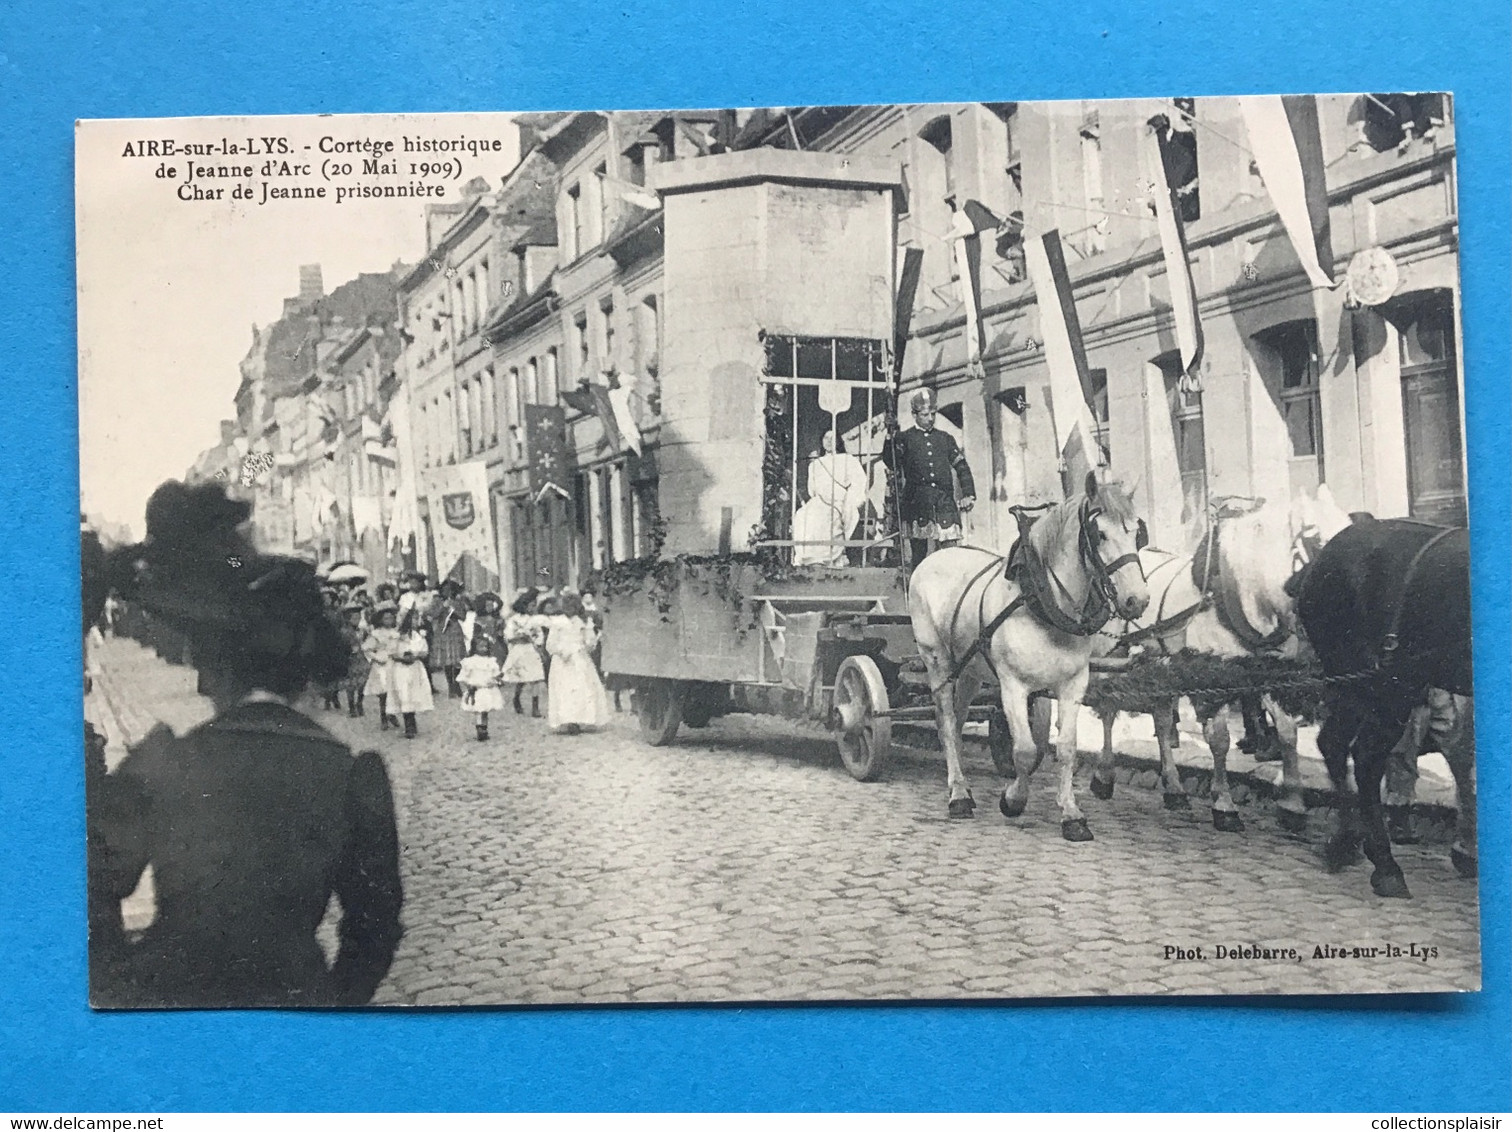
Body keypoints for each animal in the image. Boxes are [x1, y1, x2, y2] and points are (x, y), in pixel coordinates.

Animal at [907, 471, 1143, 840]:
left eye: (1135, 531)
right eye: (1100, 533)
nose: (1138, 600)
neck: (1042, 601)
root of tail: (931, 559)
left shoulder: (1073, 685)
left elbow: (1066, 749)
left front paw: (1071, 814)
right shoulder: (1013, 686)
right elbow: (1025, 750)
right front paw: (1013, 800)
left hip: (971, 669)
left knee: (957, 723)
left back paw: (961, 785)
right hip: (937, 662)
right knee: (945, 723)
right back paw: (958, 796)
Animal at [1294, 510, 1469, 894]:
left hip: (1361, 685)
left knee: (1335, 743)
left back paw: (1347, 842)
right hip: (1385, 684)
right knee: (1365, 758)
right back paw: (1384, 865)